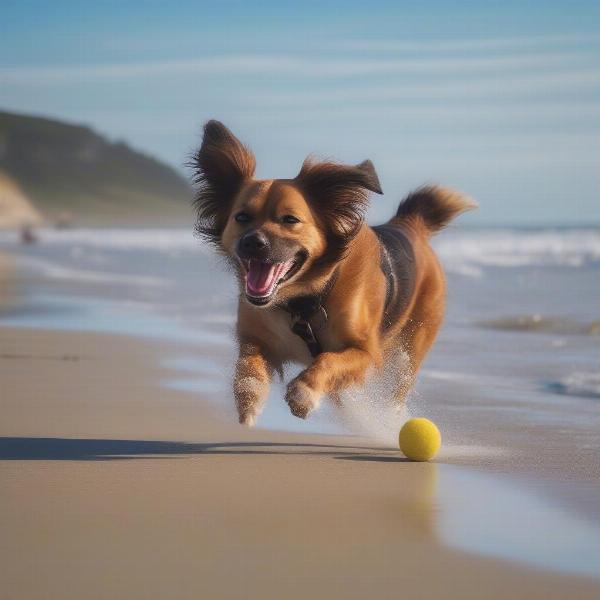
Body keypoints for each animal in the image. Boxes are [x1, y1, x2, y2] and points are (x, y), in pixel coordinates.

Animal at [191, 119, 474, 424]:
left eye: (290, 220)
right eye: (241, 217)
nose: (253, 243)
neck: (303, 301)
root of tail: (410, 224)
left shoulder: (366, 353)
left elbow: (329, 360)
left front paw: (305, 390)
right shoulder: (255, 337)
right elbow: (247, 362)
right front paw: (249, 395)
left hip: (410, 350)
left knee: (398, 385)